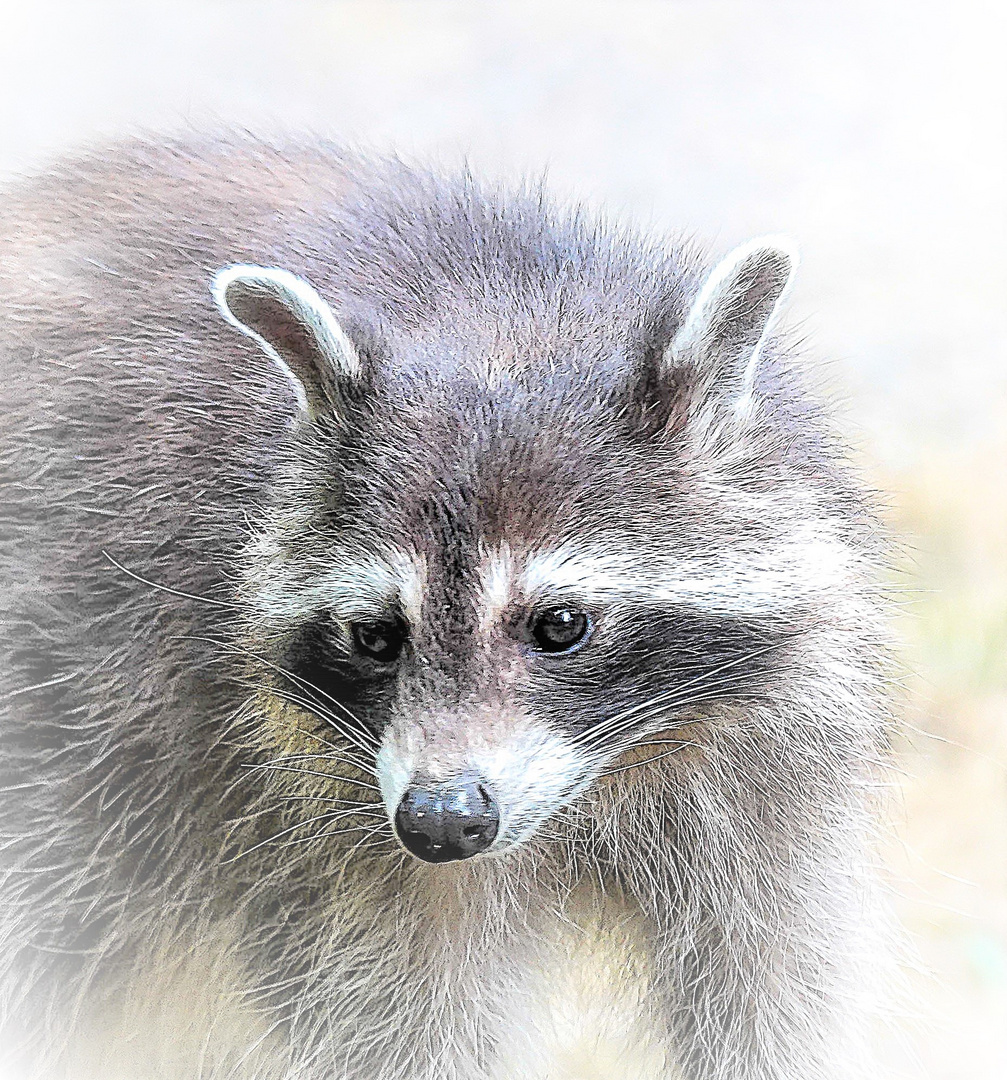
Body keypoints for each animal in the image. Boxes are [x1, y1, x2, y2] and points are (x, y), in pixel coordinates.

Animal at [1, 137, 898, 1080]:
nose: (440, 822)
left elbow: (777, 988)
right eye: (374, 636)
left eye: (559, 626)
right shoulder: (302, 815)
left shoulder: (767, 771)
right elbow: (406, 1029)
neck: (505, 323)